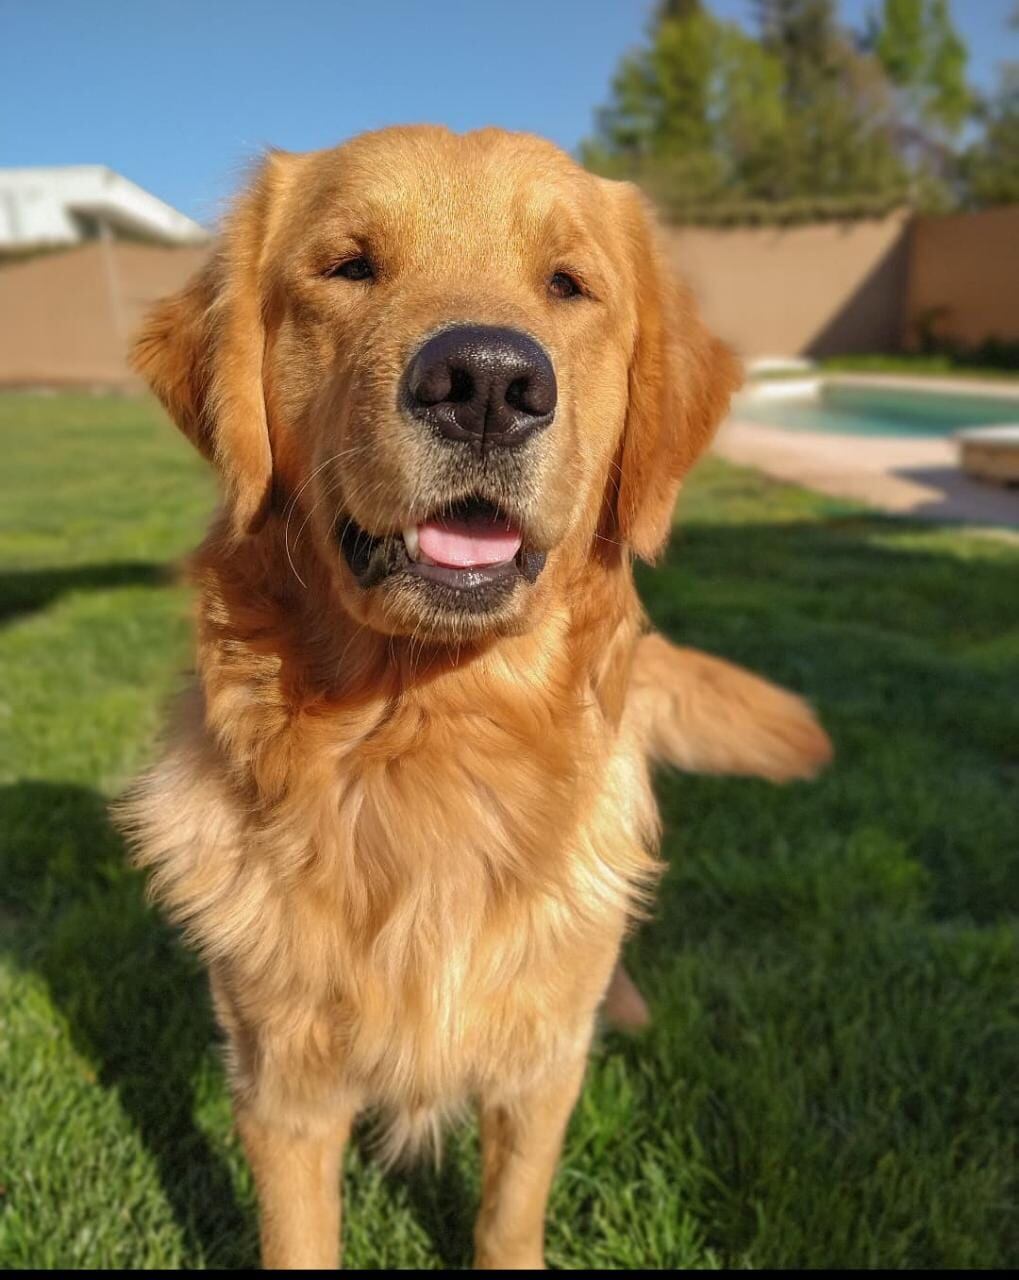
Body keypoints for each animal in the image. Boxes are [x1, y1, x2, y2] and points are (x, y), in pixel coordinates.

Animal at [119, 124, 829, 1264]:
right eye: (349, 265)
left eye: (568, 284)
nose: (487, 383)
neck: (428, 746)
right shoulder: (281, 1082)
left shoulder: (536, 1072)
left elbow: (506, 1216)